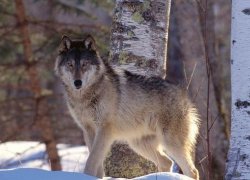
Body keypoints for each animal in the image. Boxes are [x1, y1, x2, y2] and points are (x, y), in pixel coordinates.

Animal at [55, 34, 201, 179]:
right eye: (70, 64)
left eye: (85, 64)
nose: (77, 83)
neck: (84, 97)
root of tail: (183, 94)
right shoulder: (88, 130)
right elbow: (96, 162)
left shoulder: (105, 130)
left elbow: (91, 160)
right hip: (138, 144)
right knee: (167, 162)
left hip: (170, 142)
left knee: (192, 171)